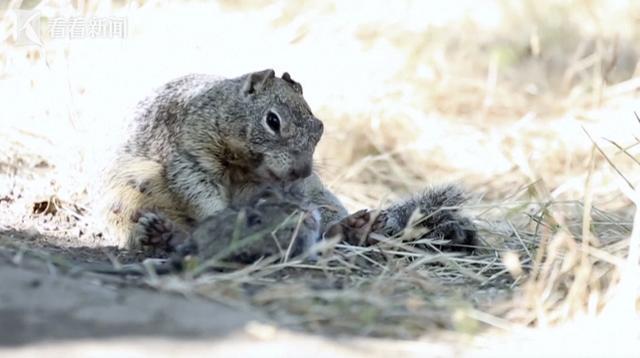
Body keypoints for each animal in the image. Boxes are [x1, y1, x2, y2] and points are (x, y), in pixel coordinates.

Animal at [97, 69, 344, 249]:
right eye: (273, 121)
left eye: (319, 127)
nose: (302, 171)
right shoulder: (190, 156)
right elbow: (197, 190)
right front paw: (222, 216)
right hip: (124, 198)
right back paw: (157, 234)